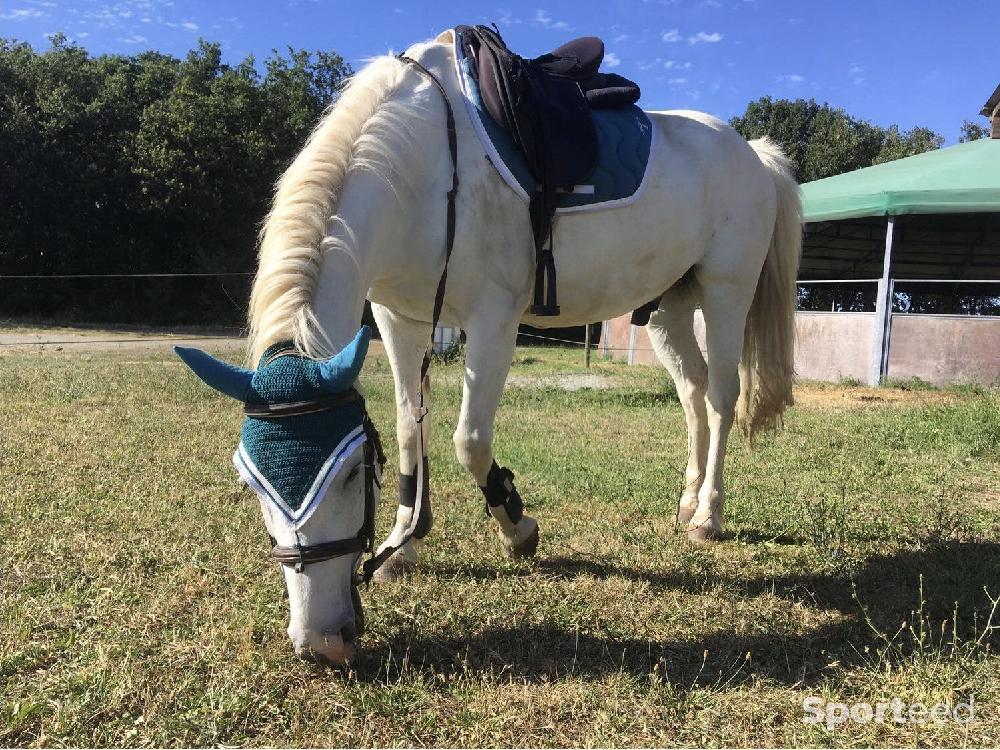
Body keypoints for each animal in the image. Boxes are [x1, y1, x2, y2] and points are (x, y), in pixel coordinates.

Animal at [184, 29, 800, 668]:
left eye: (353, 474)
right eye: (250, 484)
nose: (323, 644)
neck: (425, 165)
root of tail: (751, 150)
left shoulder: (493, 320)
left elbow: (468, 440)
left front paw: (517, 527)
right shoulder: (397, 318)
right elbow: (409, 427)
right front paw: (404, 542)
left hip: (726, 293)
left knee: (723, 399)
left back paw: (708, 515)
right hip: (668, 309)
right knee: (693, 396)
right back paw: (686, 499)